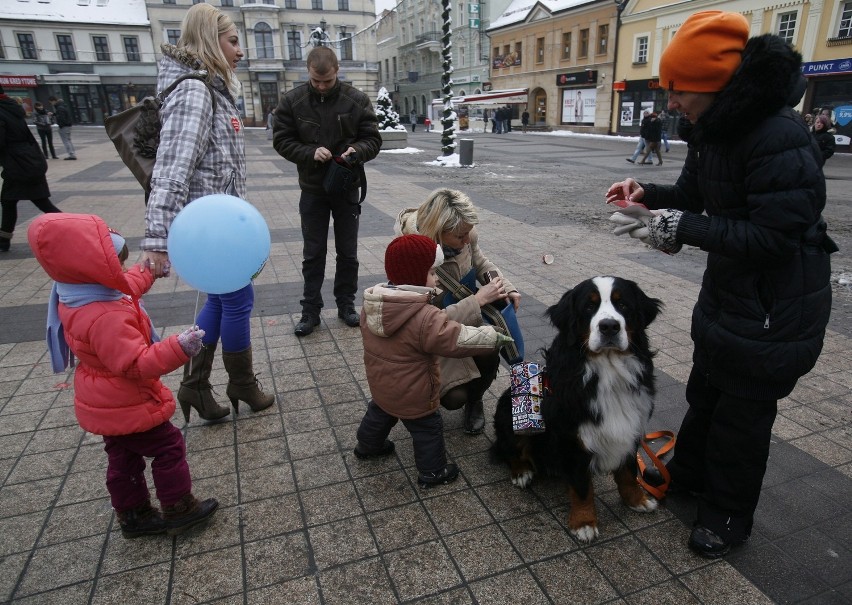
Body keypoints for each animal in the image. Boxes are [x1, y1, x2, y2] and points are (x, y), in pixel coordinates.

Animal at [492, 276, 664, 544]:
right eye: (589, 307)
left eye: (623, 305)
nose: (609, 327)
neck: (608, 372)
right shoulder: (574, 437)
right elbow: (583, 488)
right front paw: (584, 523)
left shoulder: (631, 426)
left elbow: (628, 471)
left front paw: (638, 500)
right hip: (510, 411)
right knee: (508, 449)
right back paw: (522, 472)